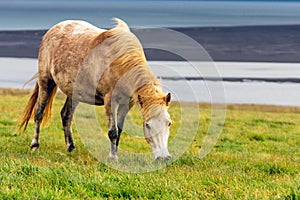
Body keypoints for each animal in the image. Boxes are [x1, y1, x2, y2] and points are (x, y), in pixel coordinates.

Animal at [18, 18, 172, 161]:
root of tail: (52, 30)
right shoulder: (110, 101)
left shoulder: (127, 103)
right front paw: (112, 157)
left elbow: (120, 130)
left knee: (66, 115)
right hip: (46, 82)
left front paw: (115, 153)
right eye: (148, 125)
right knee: (39, 113)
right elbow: (113, 131)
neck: (121, 63)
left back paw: (71, 147)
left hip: (73, 93)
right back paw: (34, 146)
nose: (164, 158)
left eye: (169, 123)